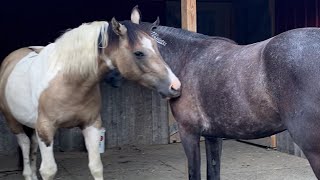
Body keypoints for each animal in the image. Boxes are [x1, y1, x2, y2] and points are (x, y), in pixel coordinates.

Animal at [0, 7, 180, 180]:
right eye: (138, 53)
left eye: (156, 47)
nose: (175, 86)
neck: (68, 82)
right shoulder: (46, 129)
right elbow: (49, 171)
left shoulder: (91, 125)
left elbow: (96, 167)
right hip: (14, 122)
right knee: (25, 144)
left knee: (33, 145)